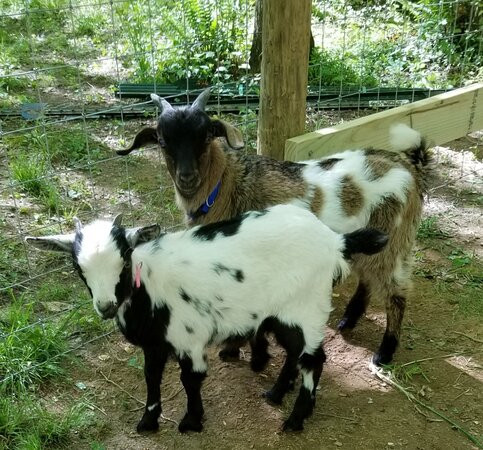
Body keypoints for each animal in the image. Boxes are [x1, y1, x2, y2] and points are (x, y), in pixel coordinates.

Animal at [27, 205, 390, 432]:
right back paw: (275, 395)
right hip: (281, 311)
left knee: (314, 359)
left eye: (125, 259)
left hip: (306, 306)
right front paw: (148, 423)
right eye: (78, 267)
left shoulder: (188, 337)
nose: (105, 306)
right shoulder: (154, 344)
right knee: (294, 353)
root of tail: (335, 240)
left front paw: (191, 421)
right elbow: (151, 378)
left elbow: (190, 379)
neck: (150, 289)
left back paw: (295, 420)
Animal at [118, 89, 434, 366]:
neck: (227, 184)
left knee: (396, 292)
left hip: (395, 239)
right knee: (367, 279)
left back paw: (385, 352)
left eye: (206, 135)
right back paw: (348, 320)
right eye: (162, 140)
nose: (187, 177)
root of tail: (409, 167)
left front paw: (232, 350)